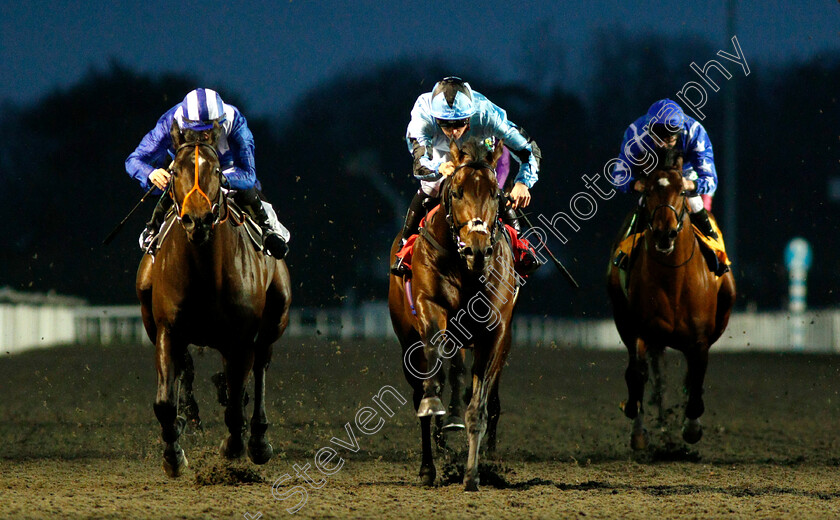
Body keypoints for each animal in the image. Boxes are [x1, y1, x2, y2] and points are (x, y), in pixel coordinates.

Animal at [135, 120, 292, 478]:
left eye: (217, 169)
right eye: (174, 170)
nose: (198, 219)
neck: (204, 270)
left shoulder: (241, 336)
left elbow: (235, 402)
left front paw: (233, 446)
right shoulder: (167, 330)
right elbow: (164, 402)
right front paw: (174, 455)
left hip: (275, 317)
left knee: (260, 365)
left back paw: (258, 439)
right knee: (191, 370)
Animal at [388, 138, 520, 492]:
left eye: (496, 194)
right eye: (458, 192)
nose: (477, 249)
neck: (466, 269)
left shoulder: (495, 333)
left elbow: (479, 406)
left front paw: (472, 474)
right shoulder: (430, 307)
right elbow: (433, 373)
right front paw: (435, 408)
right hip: (407, 341)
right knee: (420, 392)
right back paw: (428, 465)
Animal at [604, 147, 736, 450]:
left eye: (683, 191)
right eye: (649, 190)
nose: (665, 233)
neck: (673, 281)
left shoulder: (700, 338)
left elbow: (696, 375)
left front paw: (691, 425)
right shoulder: (639, 331)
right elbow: (637, 374)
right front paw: (638, 430)